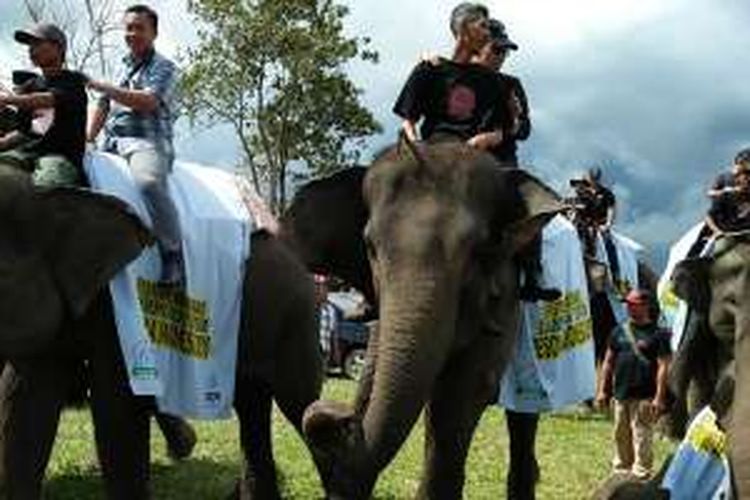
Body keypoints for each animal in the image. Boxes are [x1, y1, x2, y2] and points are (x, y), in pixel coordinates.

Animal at [0, 162, 326, 498]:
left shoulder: (119, 309)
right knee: (252, 405)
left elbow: (116, 410)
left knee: (300, 402)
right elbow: (23, 404)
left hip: (296, 316)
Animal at [292, 138, 564, 500]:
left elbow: (460, 396)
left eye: (478, 249)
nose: (337, 414)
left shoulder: (504, 296)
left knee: (524, 414)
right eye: (370, 246)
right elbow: (374, 377)